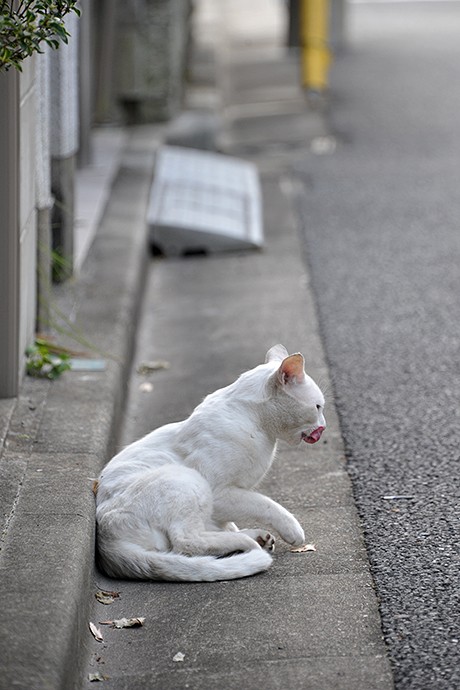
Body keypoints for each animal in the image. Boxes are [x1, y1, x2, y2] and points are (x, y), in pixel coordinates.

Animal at [96, 344, 328, 580]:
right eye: (318, 407)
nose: (324, 426)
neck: (258, 425)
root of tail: (106, 542)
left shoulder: (224, 502)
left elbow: (227, 521)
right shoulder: (221, 493)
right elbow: (264, 504)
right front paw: (292, 529)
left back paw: (255, 538)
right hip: (186, 480)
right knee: (186, 541)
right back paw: (247, 542)